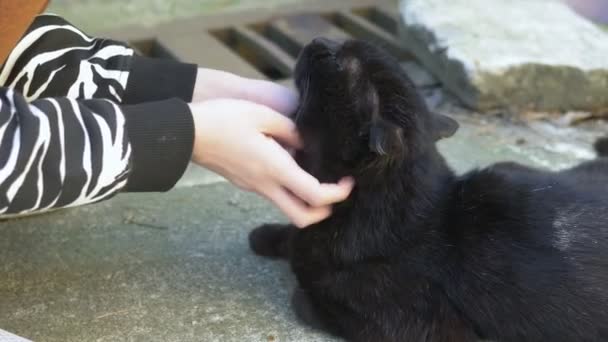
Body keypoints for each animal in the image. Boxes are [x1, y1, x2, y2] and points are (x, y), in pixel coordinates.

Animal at [248, 38, 608, 340]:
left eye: (332, 60)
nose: (317, 41)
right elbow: (294, 238)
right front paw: (265, 236)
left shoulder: (417, 328)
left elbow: (306, 299)